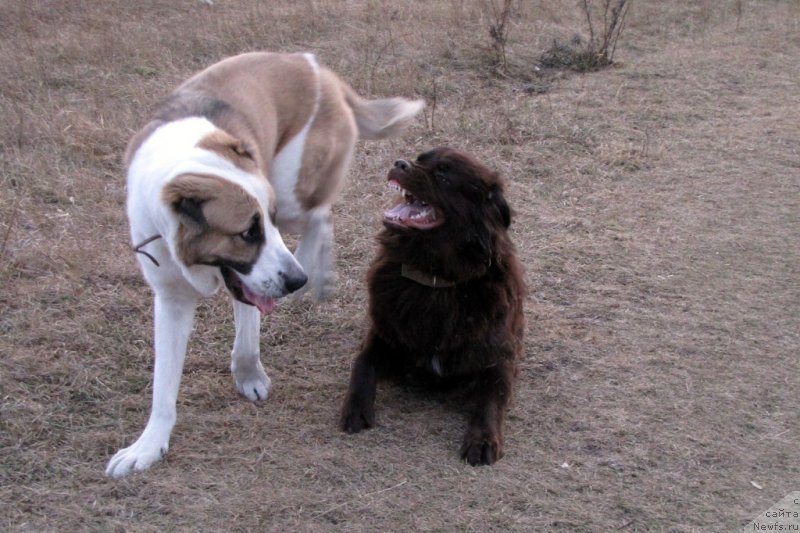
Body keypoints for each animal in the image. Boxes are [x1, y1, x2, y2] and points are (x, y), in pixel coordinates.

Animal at [109, 52, 428, 476]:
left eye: (266, 221)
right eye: (247, 232)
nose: (294, 280)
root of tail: (316, 67)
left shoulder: (264, 263)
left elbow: (248, 331)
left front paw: (249, 373)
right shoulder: (173, 297)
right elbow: (164, 384)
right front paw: (148, 446)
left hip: (294, 194)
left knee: (320, 215)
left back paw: (317, 275)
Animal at [340, 148, 528, 464]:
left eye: (443, 176)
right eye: (419, 159)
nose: (399, 163)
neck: (435, 280)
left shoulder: (499, 358)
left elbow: (492, 399)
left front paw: (483, 439)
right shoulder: (382, 335)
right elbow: (361, 364)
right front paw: (356, 409)